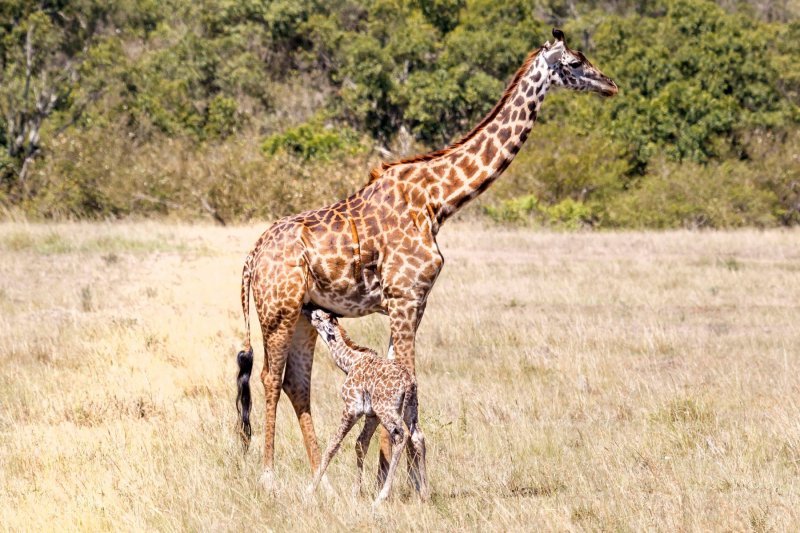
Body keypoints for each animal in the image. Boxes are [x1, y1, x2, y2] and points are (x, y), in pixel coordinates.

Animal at [302, 304, 428, 502]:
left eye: (318, 316)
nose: (306, 308)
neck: (350, 362)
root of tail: (409, 383)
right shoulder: (372, 415)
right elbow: (361, 444)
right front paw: (356, 491)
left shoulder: (351, 408)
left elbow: (333, 444)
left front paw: (310, 490)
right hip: (410, 408)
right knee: (417, 436)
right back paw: (424, 493)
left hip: (387, 410)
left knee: (401, 436)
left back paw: (382, 496)